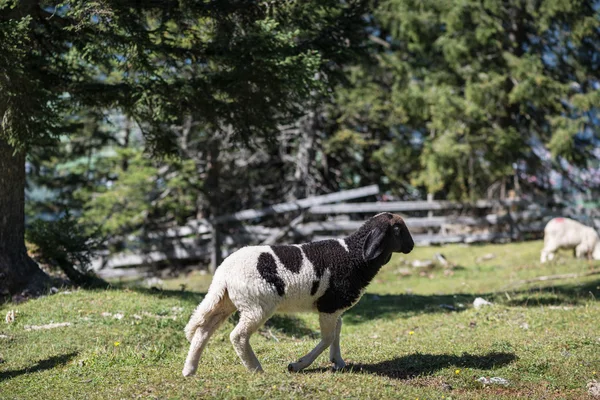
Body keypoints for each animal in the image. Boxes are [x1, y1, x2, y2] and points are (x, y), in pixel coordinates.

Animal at [183, 211, 414, 376]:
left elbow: (337, 331)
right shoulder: (329, 306)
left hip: (226, 301)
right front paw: (298, 365)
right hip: (256, 306)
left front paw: (338, 362)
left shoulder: (333, 308)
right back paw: (256, 370)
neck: (353, 255)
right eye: (397, 229)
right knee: (237, 336)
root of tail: (223, 272)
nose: (411, 246)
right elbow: (328, 337)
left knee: (203, 329)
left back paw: (189, 370)